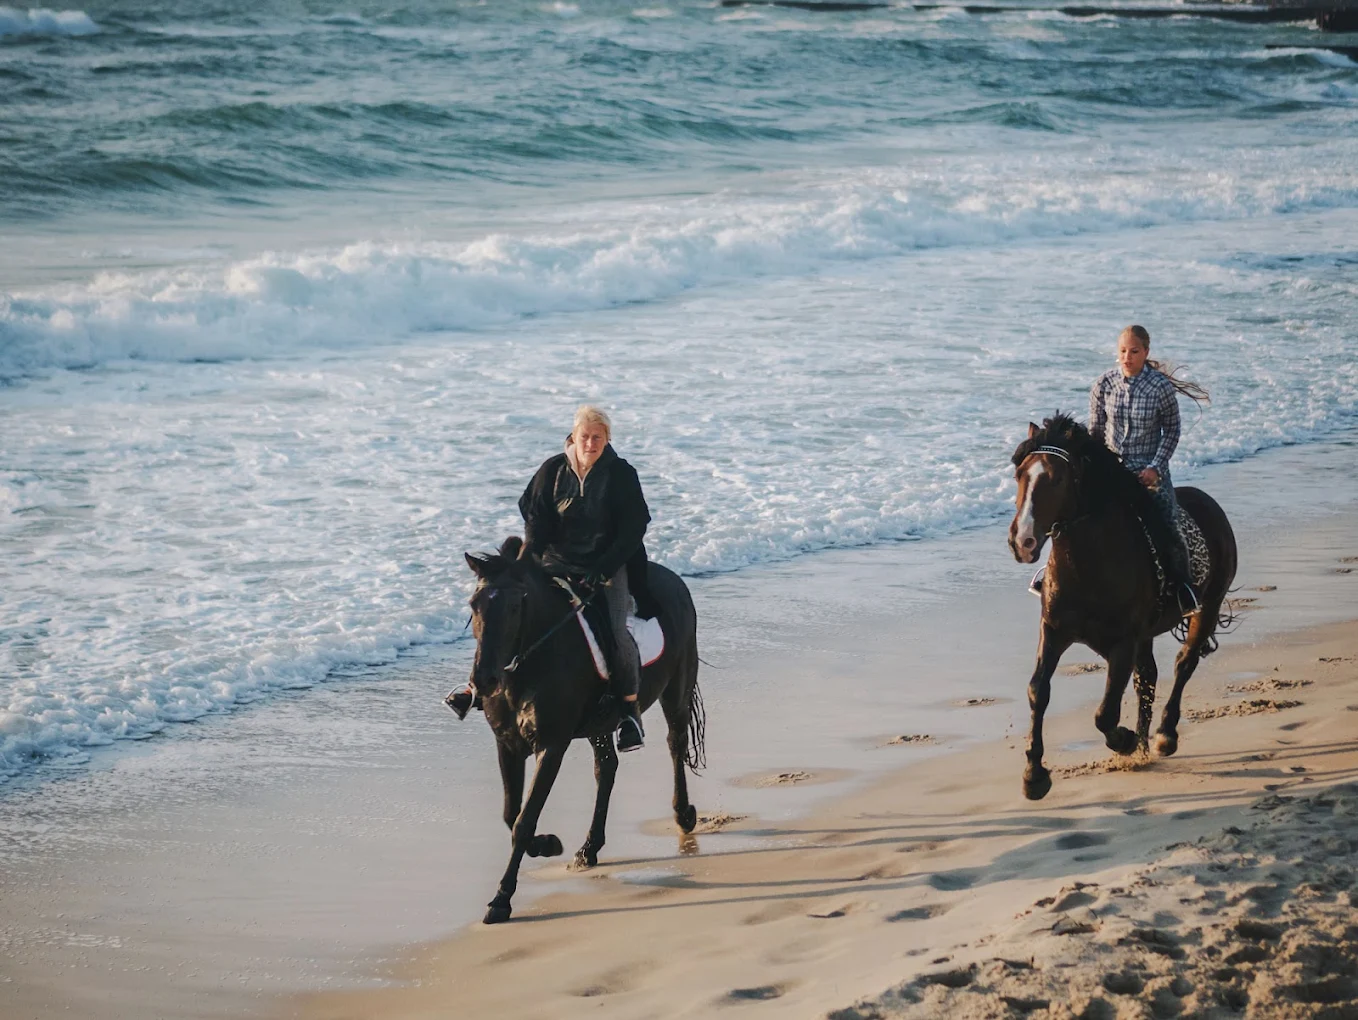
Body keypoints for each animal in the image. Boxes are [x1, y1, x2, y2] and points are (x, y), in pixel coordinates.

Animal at [461, 536, 705, 924]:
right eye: (474, 604)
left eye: (515, 606)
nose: (483, 681)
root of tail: (674, 580)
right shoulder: (508, 744)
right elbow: (511, 814)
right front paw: (548, 844)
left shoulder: (551, 744)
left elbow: (524, 819)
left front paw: (501, 899)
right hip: (600, 723)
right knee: (606, 769)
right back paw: (588, 849)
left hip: (677, 687)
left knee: (675, 744)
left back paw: (683, 814)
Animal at [1007, 414, 1238, 801]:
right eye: (1019, 475)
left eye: (1057, 478)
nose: (1022, 541)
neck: (1087, 564)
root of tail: (1210, 504)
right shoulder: (1054, 630)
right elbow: (1039, 690)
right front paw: (1033, 775)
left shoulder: (1123, 642)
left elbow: (1105, 712)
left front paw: (1125, 741)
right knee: (1149, 676)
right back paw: (1144, 745)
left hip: (1207, 606)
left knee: (1183, 664)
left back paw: (1162, 736)